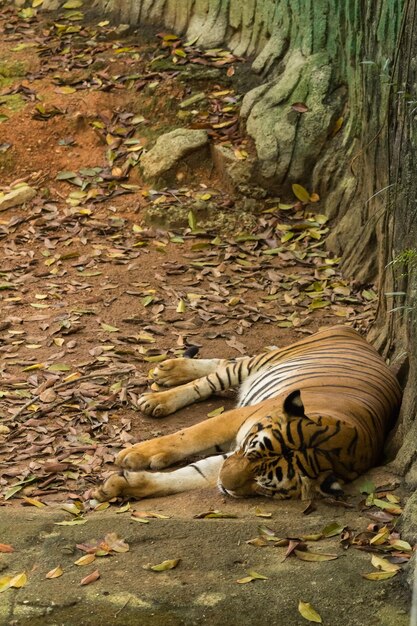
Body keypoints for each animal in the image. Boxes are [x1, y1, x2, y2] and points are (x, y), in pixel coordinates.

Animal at [93, 324, 400, 500]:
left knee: (223, 364)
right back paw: (162, 387)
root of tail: (352, 332)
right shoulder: (238, 420)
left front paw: (121, 486)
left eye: (264, 484)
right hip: (263, 361)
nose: (225, 486)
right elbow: (188, 436)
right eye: (251, 454)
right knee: (218, 372)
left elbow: (189, 475)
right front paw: (134, 454)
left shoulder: (230, 458)